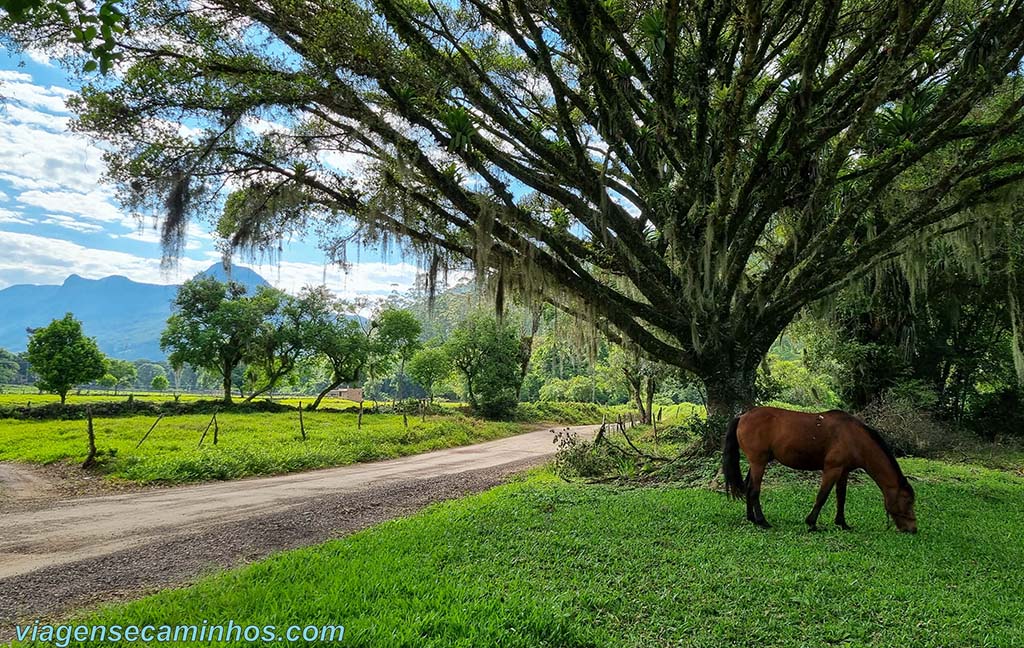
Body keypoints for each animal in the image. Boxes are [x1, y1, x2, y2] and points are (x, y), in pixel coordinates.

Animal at [720, 407, 921, 532]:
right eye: (908, 501)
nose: (912, 529)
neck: (855, 438)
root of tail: (743, 416)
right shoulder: (832, 469)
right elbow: (822, 496)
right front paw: (812, 523)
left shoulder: (844, 471)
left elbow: (841, 497)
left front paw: (842, 523)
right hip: (758, 463)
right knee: (754, 491)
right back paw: (762, 522)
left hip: (756, 463)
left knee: (748, 488)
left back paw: (751, 518)